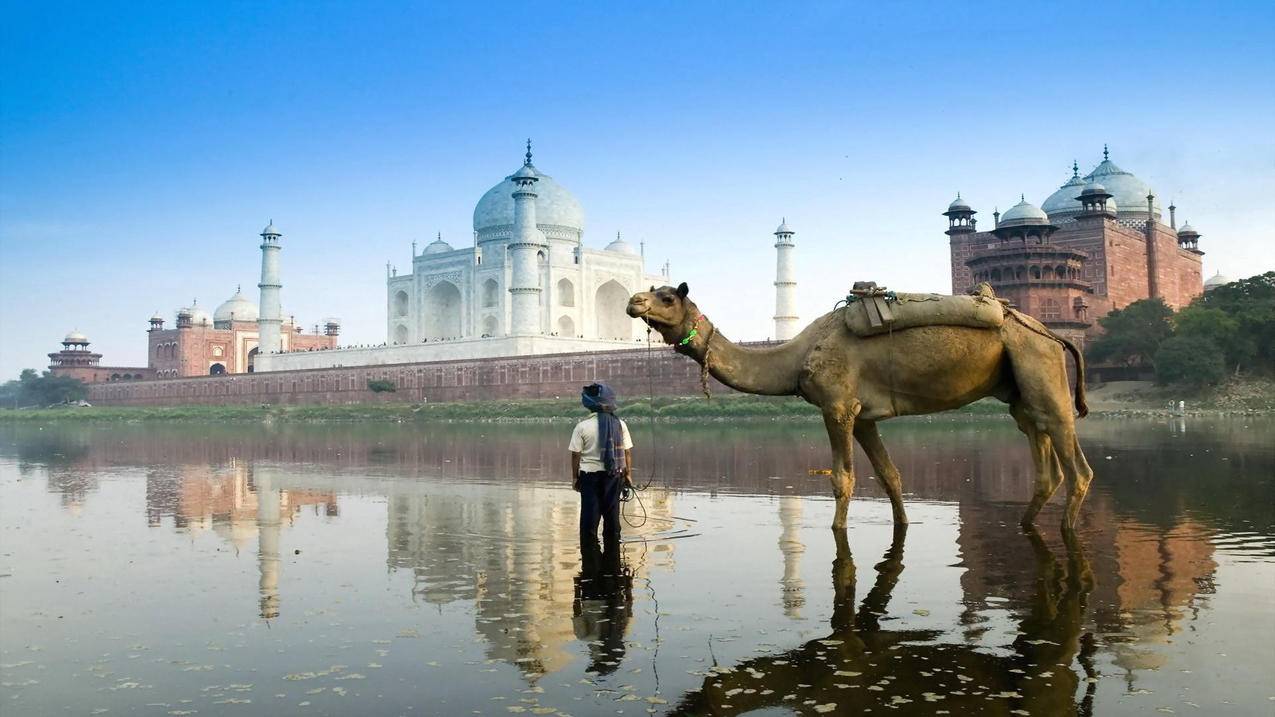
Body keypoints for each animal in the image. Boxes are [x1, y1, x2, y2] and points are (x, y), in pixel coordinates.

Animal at [627, 280, 1096, 530]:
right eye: (650, 291)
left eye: (668, 296)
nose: (634, 301)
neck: (796, 356)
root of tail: (1053, 334)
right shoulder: (865, 416)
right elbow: (890, 476)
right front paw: (903, 524)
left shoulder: (836, 406)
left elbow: (842, 479)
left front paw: (838, 529)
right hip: (1019, 389)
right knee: (1042, 458)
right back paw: (1027, 524)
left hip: (1040, 366)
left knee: (1077, 465)